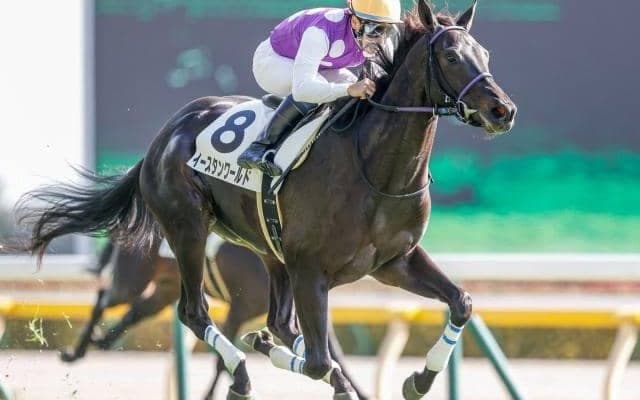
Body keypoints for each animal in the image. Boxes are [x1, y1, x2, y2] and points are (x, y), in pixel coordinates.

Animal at [59, 235, 369, 400]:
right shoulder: (239, 309)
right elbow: (221, 361)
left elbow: (336, 356)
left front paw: (358, 391)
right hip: (133, 278)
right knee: (104, 298)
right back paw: (75, 352)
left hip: (165, 288)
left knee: (135, 312)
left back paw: (101, 341)